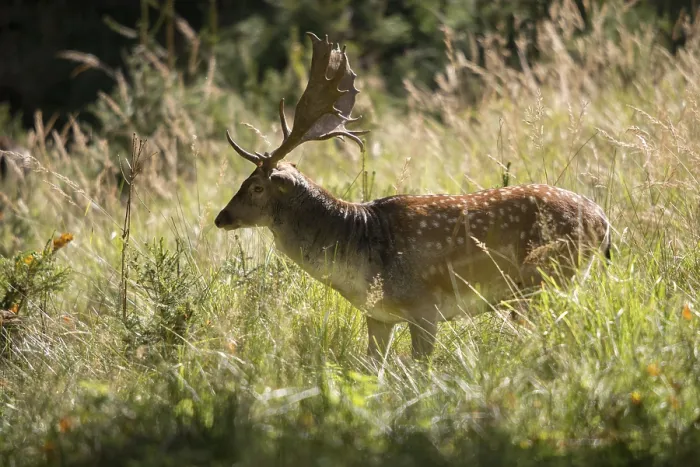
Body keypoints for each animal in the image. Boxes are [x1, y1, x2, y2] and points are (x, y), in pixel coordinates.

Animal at [214, 32, 612, 362]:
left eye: (256, 186)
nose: (221, 217)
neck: (359, 252)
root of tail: (604, 221)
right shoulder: (378, 316)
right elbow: (371, 367)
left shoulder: (425, 307)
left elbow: (421, 369)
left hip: (545, 276)